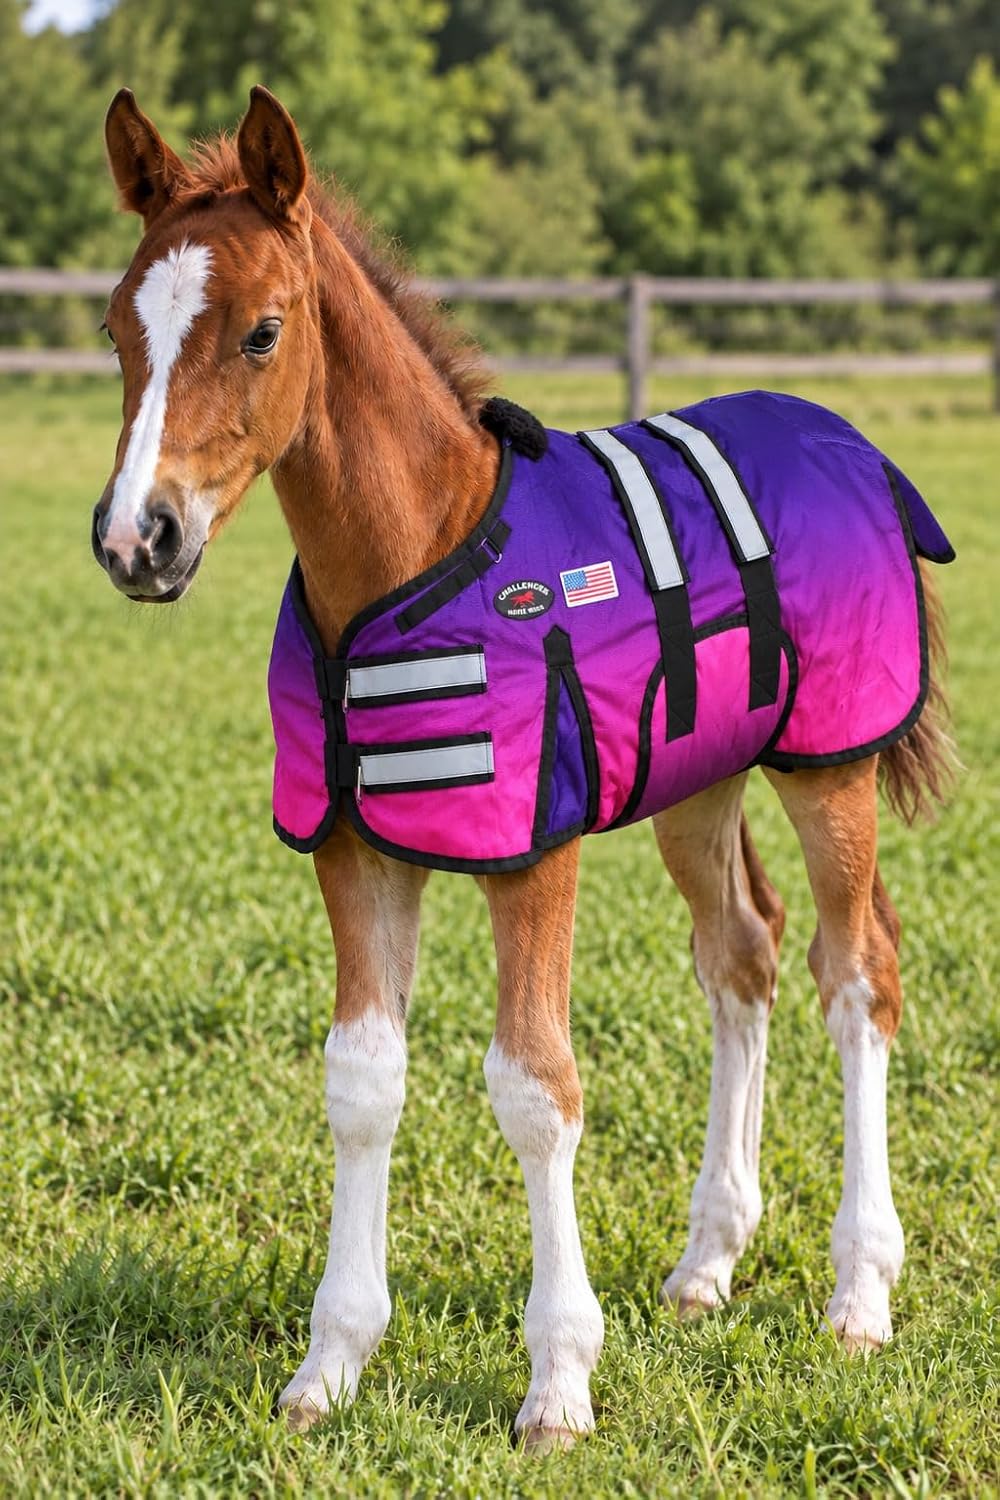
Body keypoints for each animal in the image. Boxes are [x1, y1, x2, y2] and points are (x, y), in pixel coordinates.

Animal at [92, 86, 954, 1451]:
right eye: (119, 327)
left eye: (263, 333)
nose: (139, 540)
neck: (408, 559)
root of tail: (840, 433)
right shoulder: (355, 850)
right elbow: (362, 1080)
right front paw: (329, 1367)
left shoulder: (531, 851)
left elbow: (534, 1085)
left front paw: (557, 1383)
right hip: (695, 781)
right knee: (743, 959)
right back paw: (708, 1261)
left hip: (830, 769)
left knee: (856, 969)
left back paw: (858, 1291)